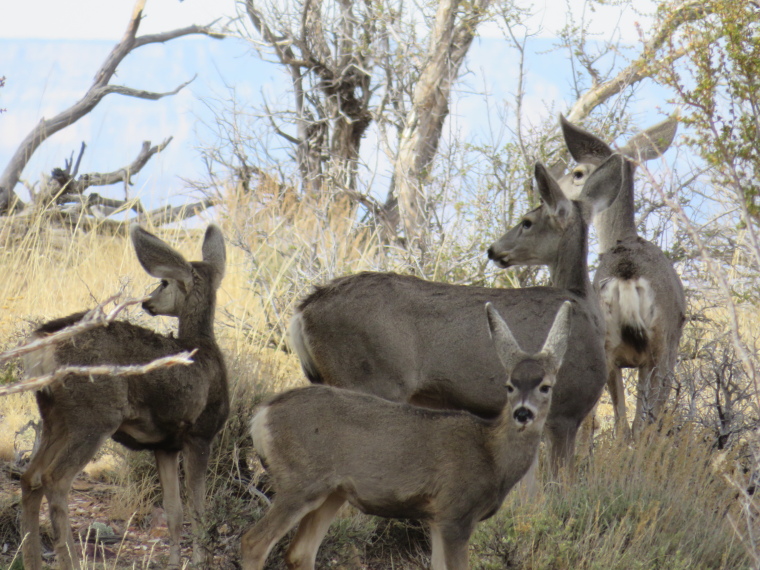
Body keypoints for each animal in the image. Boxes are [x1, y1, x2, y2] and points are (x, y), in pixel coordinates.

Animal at [20, 222, 229, 568]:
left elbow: (175, 512)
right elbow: (199, 511)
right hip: (94, 415)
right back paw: (71, 559)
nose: (147, 302)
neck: (205, 349)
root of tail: (43, 345)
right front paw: (200, 560)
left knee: (30, 476)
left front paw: (174, 561)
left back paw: (32, 560)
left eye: (163, 282)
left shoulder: (166, 446)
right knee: (55, 479)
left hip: (54, 414)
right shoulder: (200, 432)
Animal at [243, 300, 568, 564]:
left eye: (546, 386)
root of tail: (261, 415)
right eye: (509, 385)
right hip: (300, 482)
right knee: (254, 543)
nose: (523, 413)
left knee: (299, 552)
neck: (491, 454)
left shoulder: (436, 518)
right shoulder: (456, 512)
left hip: (332, 492)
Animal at [288, 154, 628, 474]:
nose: (493, 250)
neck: (585, 304)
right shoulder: (566, 411)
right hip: (368, 379)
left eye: (527, 221)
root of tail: (304, 311)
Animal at [556, 115, 684, 434]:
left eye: (577, 173)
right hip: (659, 349)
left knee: (627, 424)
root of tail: (627, 275)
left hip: (623, 351)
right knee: (638, 424)